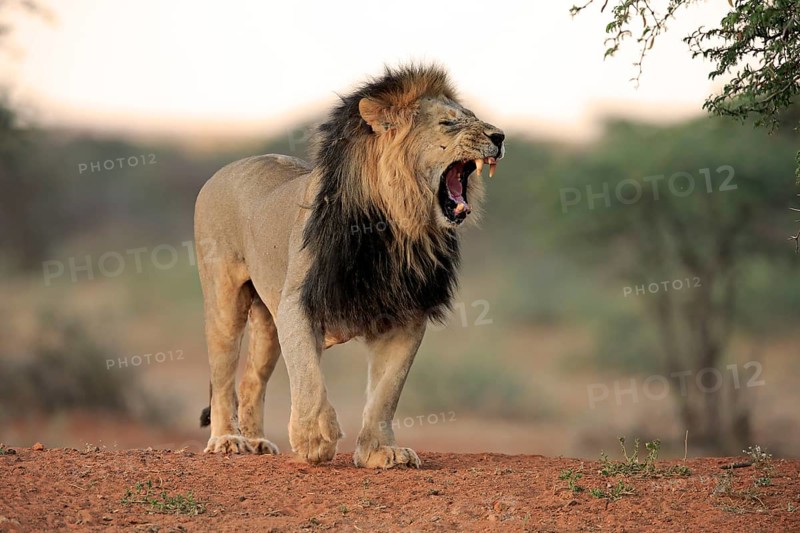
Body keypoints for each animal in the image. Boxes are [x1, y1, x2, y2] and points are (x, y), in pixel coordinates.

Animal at [195, 64, 505, 468]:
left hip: (266, 320)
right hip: (225, 302)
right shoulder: (297, 303)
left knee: (251, 381)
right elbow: (308, 375)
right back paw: (227, 440)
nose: (500, 136)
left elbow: (387, 391)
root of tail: (223, 170)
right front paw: (315, 436)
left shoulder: (408, 315)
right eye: (449, 123)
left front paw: (380, 451)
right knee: (222, 375)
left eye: (471, 116)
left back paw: (257, 441)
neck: (399, 226)